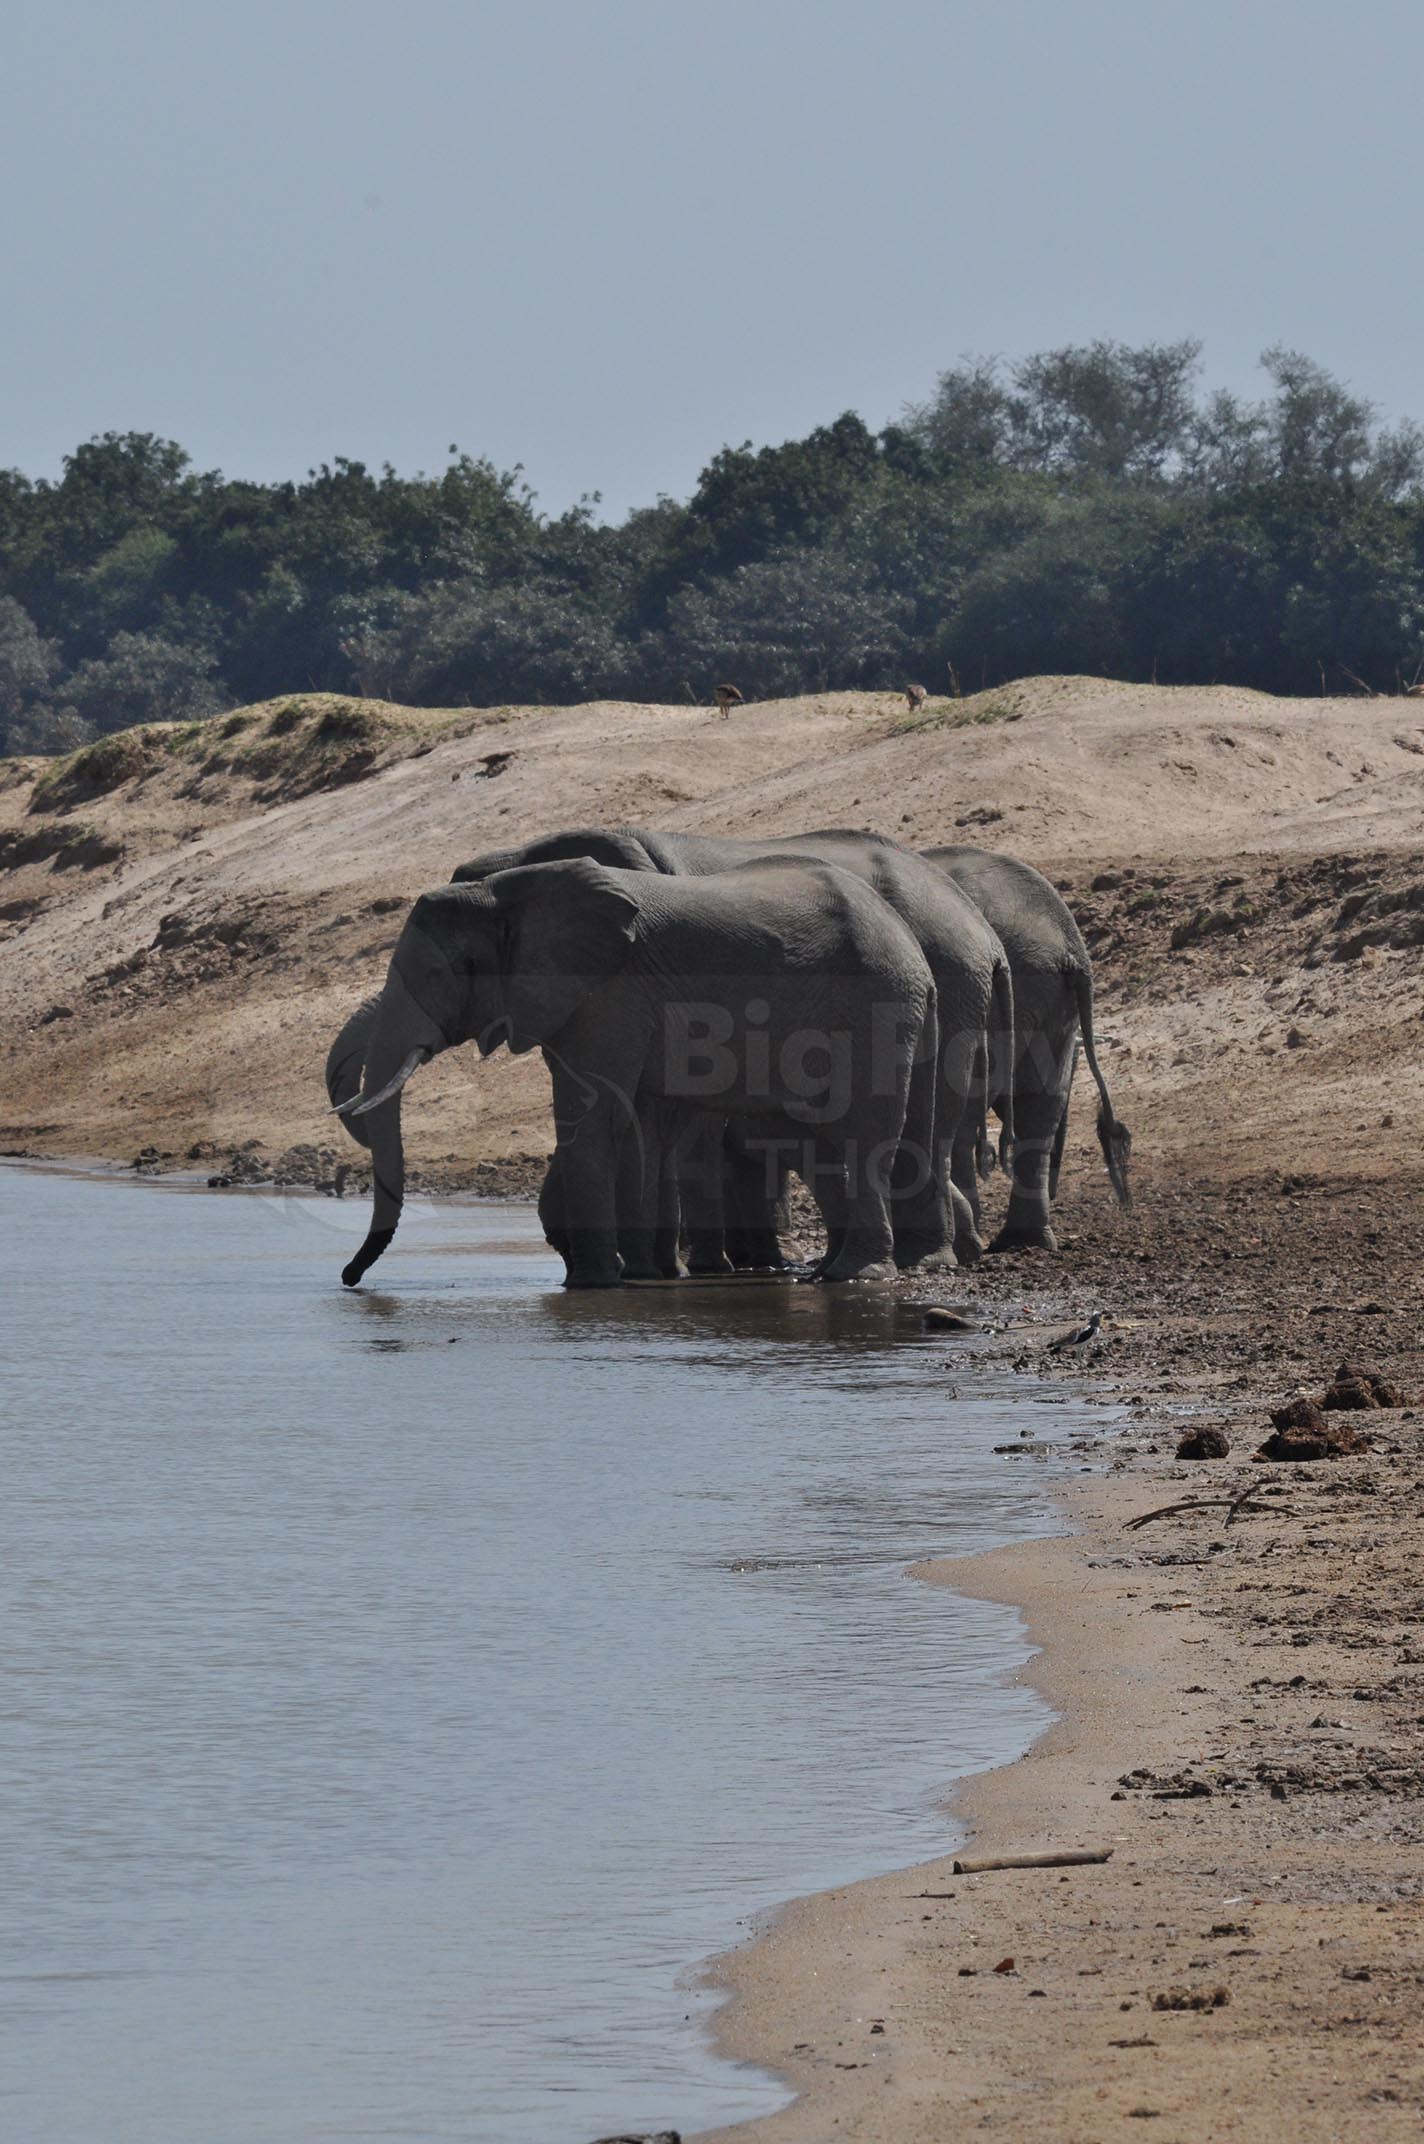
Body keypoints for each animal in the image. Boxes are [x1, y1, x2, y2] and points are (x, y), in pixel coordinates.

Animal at [922, 836, 1132, 1243]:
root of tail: (1071, 943)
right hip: (1044, 999)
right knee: (1039, 1105)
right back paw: (1021, 1239)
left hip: (1010, 995)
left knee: (968, 1113)